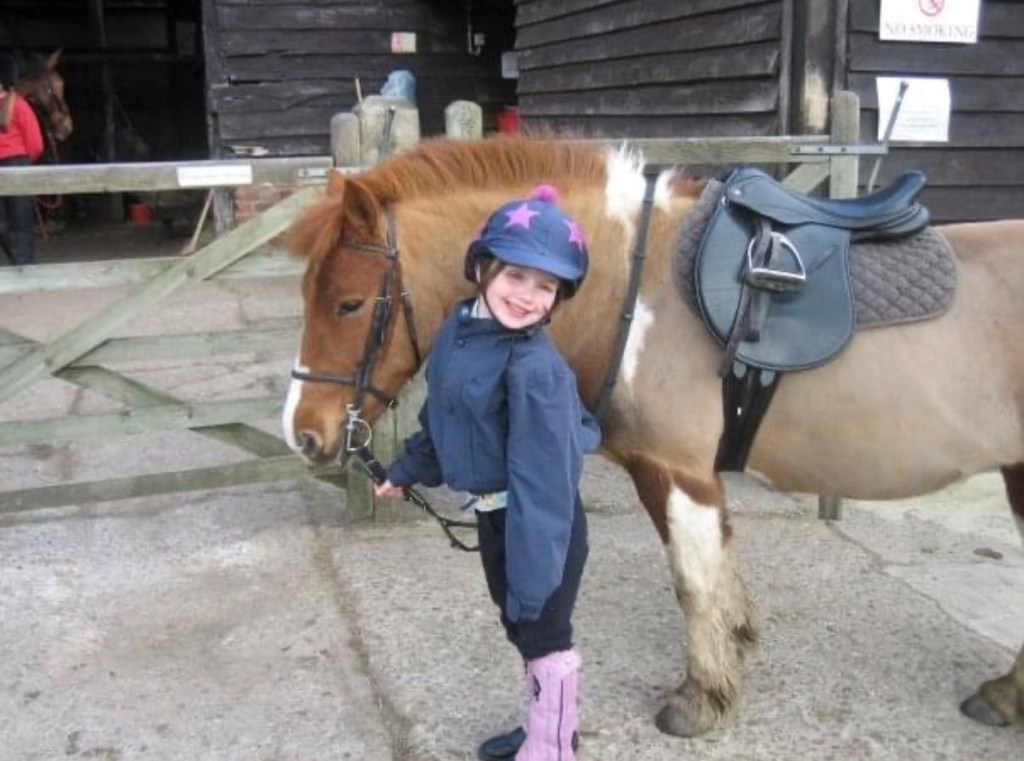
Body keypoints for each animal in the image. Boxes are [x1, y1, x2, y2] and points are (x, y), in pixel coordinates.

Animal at [280, 134, 1024, 733]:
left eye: (349, 303)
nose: (303, 433)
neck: (635, 291)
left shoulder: (675, 470)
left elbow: (693, 580)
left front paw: (701, 696)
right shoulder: (680, 472)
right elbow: (718, 567)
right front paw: (735, 645)